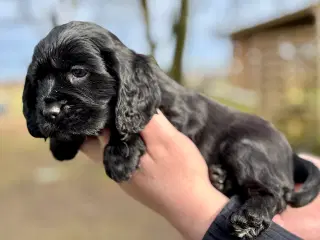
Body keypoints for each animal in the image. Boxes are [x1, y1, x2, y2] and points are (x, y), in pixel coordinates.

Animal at [23, 21, 320, 239]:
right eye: (37, 80)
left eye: (78, 72)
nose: (49, 113)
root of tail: (291, 153)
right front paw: (62, 142)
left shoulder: (175, 114)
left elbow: (130, 121)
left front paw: (120, 154)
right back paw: (220, 178)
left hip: (244, 148)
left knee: (276, 192)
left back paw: (250, 217)